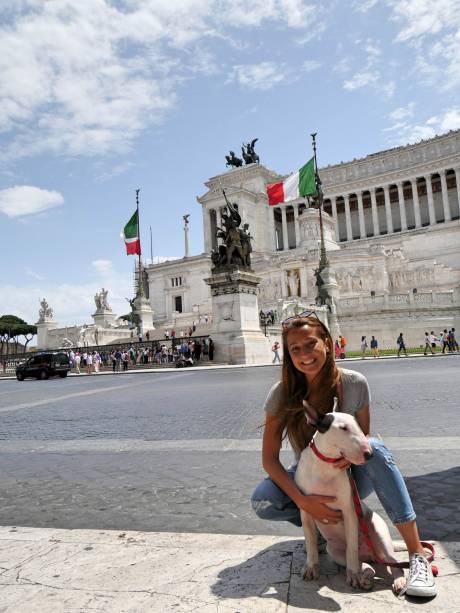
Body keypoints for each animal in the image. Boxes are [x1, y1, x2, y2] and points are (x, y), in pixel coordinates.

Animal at [294, 404, 406, 592]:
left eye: (358, 425)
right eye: (343, 428)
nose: (369, 454)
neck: (325, 466)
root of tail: (369, 553)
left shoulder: (348, 510)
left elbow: (352, 547)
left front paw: (353, 575)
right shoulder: (306, 508)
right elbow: (310, 542)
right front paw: (311, 567)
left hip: (379, 533)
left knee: (393, 563)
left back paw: (397, 580)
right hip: (335, 552)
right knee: (367, 565)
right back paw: (366, 576)